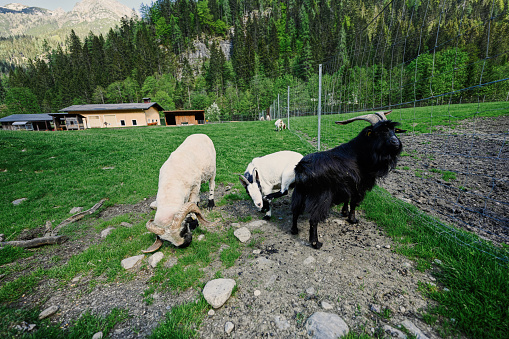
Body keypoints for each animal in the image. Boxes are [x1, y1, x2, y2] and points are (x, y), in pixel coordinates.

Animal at [290, 111, 404, 250]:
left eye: (394, 130)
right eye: (379, 131)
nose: (396, 142)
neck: (360, 154)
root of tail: (302, 167)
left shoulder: (347, 185)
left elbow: (347, 199)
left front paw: (344, 212)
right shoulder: (359, 186)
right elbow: (354, 203)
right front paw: (352, 220)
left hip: (299, 192)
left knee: (295, 210)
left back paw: (294, 230)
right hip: (321, 196)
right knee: (313, 219)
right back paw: (316, 243)